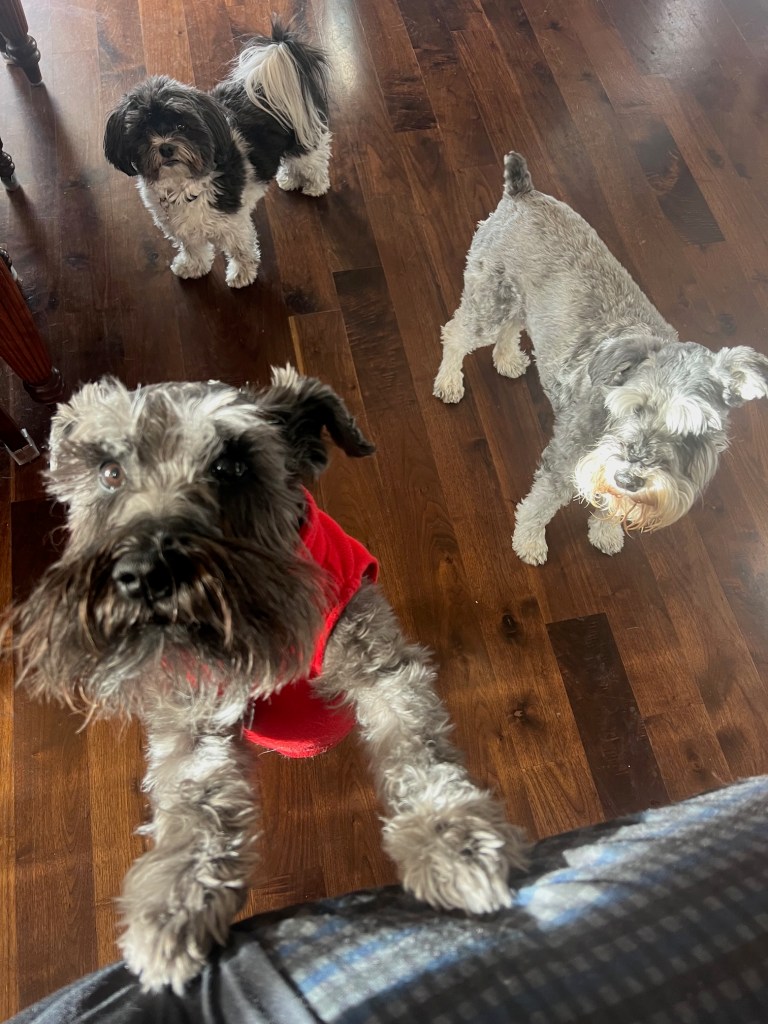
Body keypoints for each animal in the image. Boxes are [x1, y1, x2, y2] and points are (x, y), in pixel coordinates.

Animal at [6, 368, 525, 993]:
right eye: (110, 472)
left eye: (232, 466)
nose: (146, 574)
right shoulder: (195, 725)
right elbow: (194, 813)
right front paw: (174, 903)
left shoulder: (382, 671)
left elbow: (416, 752)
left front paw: (451, 839)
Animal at [103, 21, 331, 288]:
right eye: (142, 132)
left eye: (182, 126)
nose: (166, 147)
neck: (183, 186)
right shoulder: (182, 228)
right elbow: (193, 248)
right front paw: (193, 267)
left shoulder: (233, 225)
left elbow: (241, 250)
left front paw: (242, 274)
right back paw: (290, 179)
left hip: (302, 139)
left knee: (313, 160)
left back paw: (315, 186)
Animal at [434, 152, 768, 565]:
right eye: (632, 407)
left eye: (689, 430)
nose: (630, 476)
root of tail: (522, 193)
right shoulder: (564, 461)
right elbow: (541, 505)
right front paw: (529, 542)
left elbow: (613, 504)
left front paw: (607, 532)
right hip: (489, 300)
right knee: (456, 333)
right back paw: (449, 381)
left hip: (521, 301)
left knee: (512, 326)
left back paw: (508, 358)